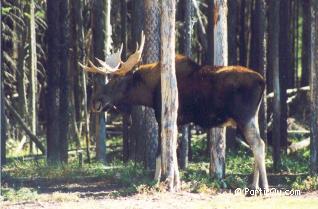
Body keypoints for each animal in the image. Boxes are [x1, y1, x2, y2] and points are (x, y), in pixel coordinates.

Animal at [79, 33, 268, 191]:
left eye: (116, 81)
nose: (95, 101)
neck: (149, 92)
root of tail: (263, 81)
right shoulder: (178, 121)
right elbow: (173, 152)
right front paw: (175, 181)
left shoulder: (163, 118)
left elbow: (160, 152)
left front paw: (156, 181)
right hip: (252, 118)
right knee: (258, 144)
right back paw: (253, 185)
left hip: (244, 117)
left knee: (258, 144)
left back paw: (263, 186)